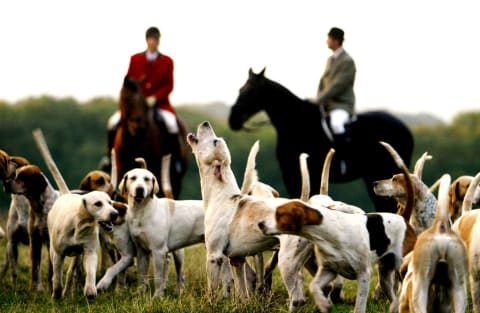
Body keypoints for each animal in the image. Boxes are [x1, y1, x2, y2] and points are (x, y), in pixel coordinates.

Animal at [228, 66, 412, 211]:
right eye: (240, 89)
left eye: (251, 91)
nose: (232, 120)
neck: (297, 124)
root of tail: (405, 128)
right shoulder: (290, 174)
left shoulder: (307, 174)